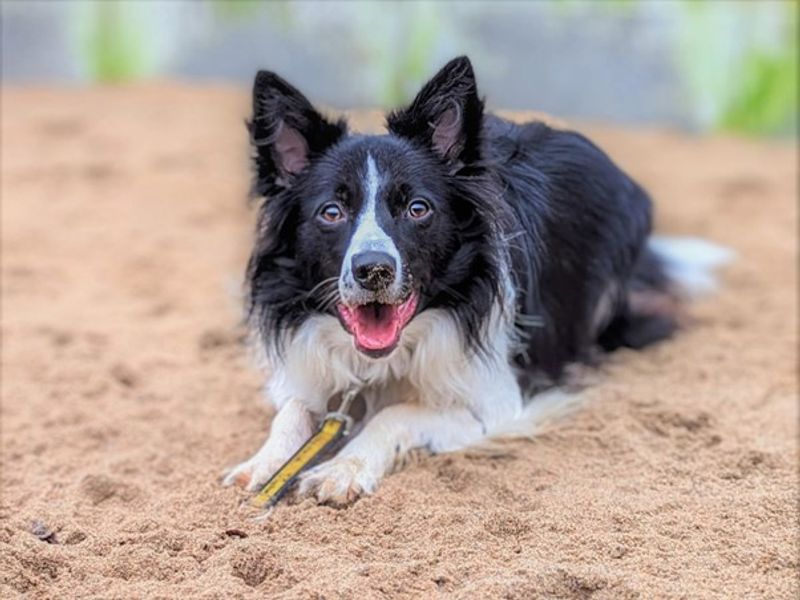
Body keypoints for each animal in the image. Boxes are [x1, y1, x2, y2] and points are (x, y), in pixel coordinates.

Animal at [222, 57, 728, 506]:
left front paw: (343, 466)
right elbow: (292, 412)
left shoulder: (497, 402)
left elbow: (395, 413)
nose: (374, 269)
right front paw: (261, 462)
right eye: (331, 212)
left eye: (418, 208)